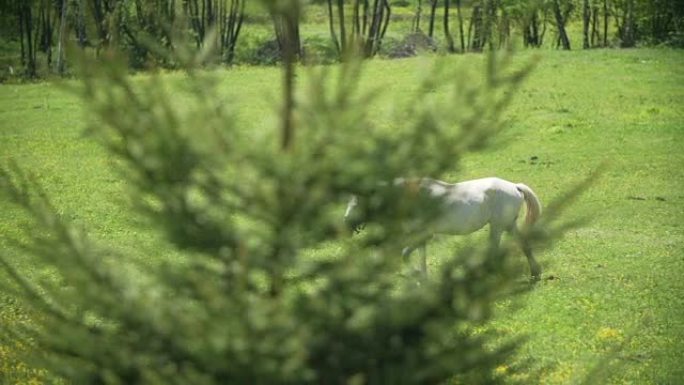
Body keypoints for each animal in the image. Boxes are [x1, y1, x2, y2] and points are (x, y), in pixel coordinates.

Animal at [344, 176, 544, 280]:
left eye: (357, 202)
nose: (346, 223)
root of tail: (515, 186)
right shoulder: (421, 237)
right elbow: (420, 257)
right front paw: (423, 280)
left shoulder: (424, 235)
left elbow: (405, 255)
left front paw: (417, 275)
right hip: (509, 225)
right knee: (524, 245)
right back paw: (535, 273)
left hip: (497, 227)